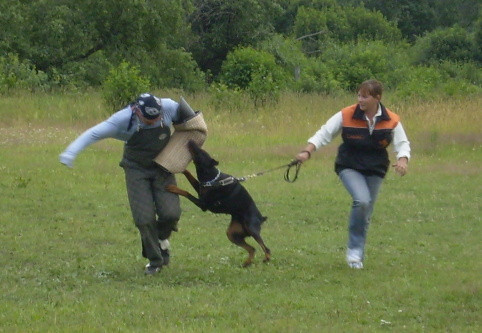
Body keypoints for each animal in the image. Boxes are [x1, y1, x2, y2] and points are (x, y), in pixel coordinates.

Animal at [167, 140, 272, 268]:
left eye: (200, 152)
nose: (191, 141)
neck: (212, 178)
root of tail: (261, 218)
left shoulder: (203, 204)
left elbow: (186, 192)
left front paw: (172, 188)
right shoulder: (200, 188)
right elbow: (190, 176)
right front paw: (182, 169)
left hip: (251, 228)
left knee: (265, 248)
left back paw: (266, 258)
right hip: (232, 234)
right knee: (252, 249)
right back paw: (247, 263)